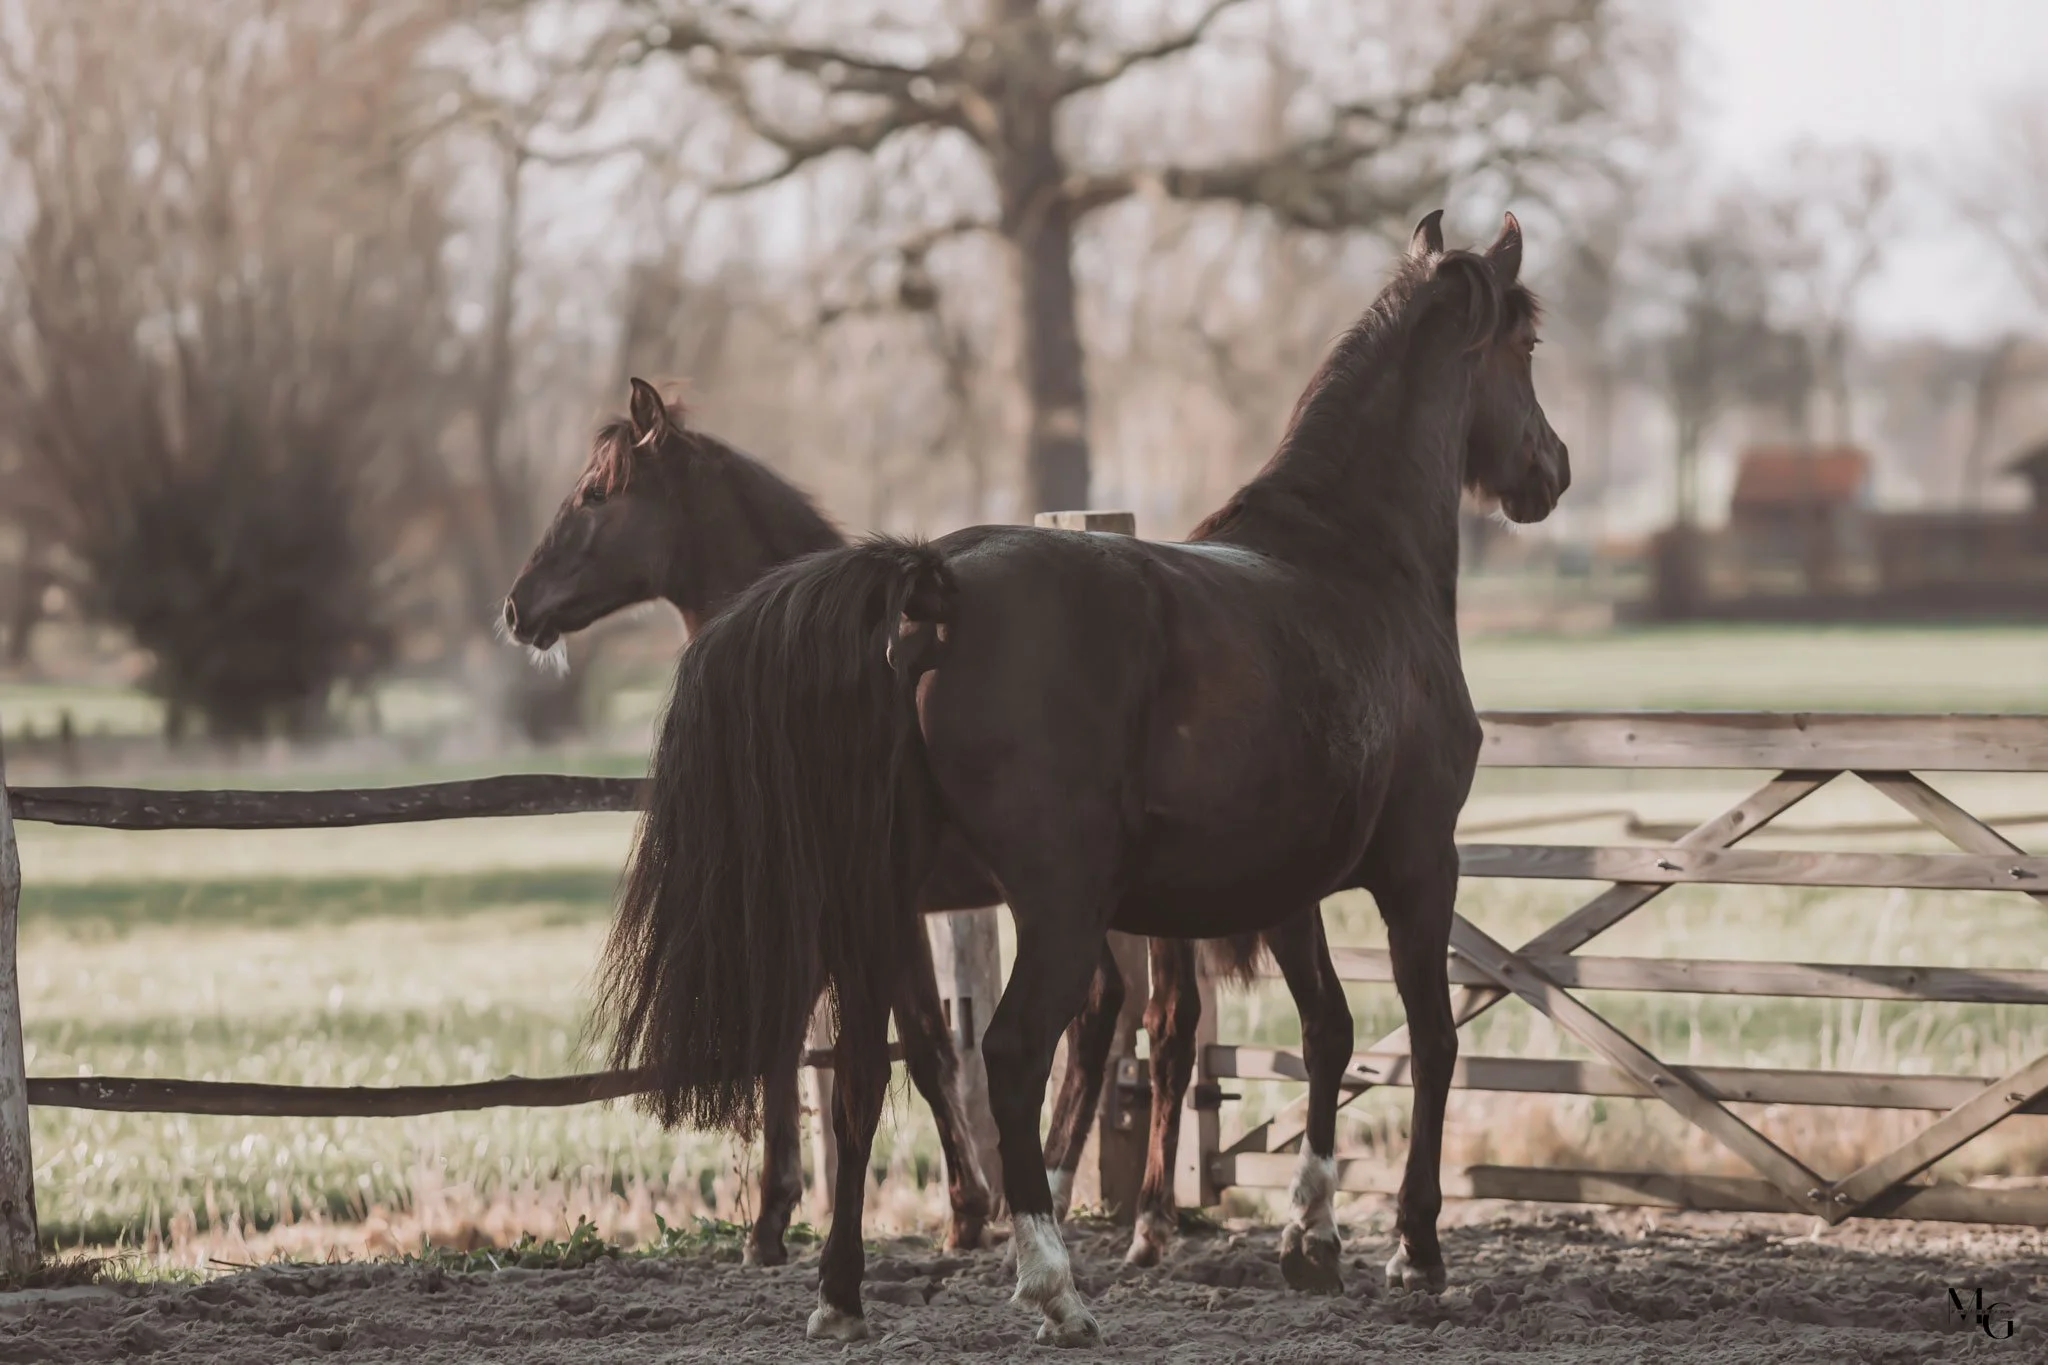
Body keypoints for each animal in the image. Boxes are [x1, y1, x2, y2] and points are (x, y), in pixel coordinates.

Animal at [504, 392, 1276, 1272]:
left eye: (596, 493)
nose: (518, 606)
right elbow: (819, 1037)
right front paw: (786, 1216)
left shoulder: (884, 906)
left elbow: (926, 1043)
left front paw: (950, 1211)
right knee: (1126, 1015)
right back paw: (1087, 1198)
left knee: (1152, 1022)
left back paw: (1126, 1211)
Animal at [593, 208, 1565, 1345]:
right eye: (1526, 344)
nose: (1552, 468)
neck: (1352, 561)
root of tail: (933, 583)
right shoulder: (1419, 865)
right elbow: (1429, 1038)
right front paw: (1413, 1249)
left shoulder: (1286, 884)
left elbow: (1327, 1030)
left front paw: (1313, 1239)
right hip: (1053, 906)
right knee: (1012, 1054)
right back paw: (1053, 1286)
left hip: (880, 907)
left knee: (869, 1075)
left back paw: (843, 1295)